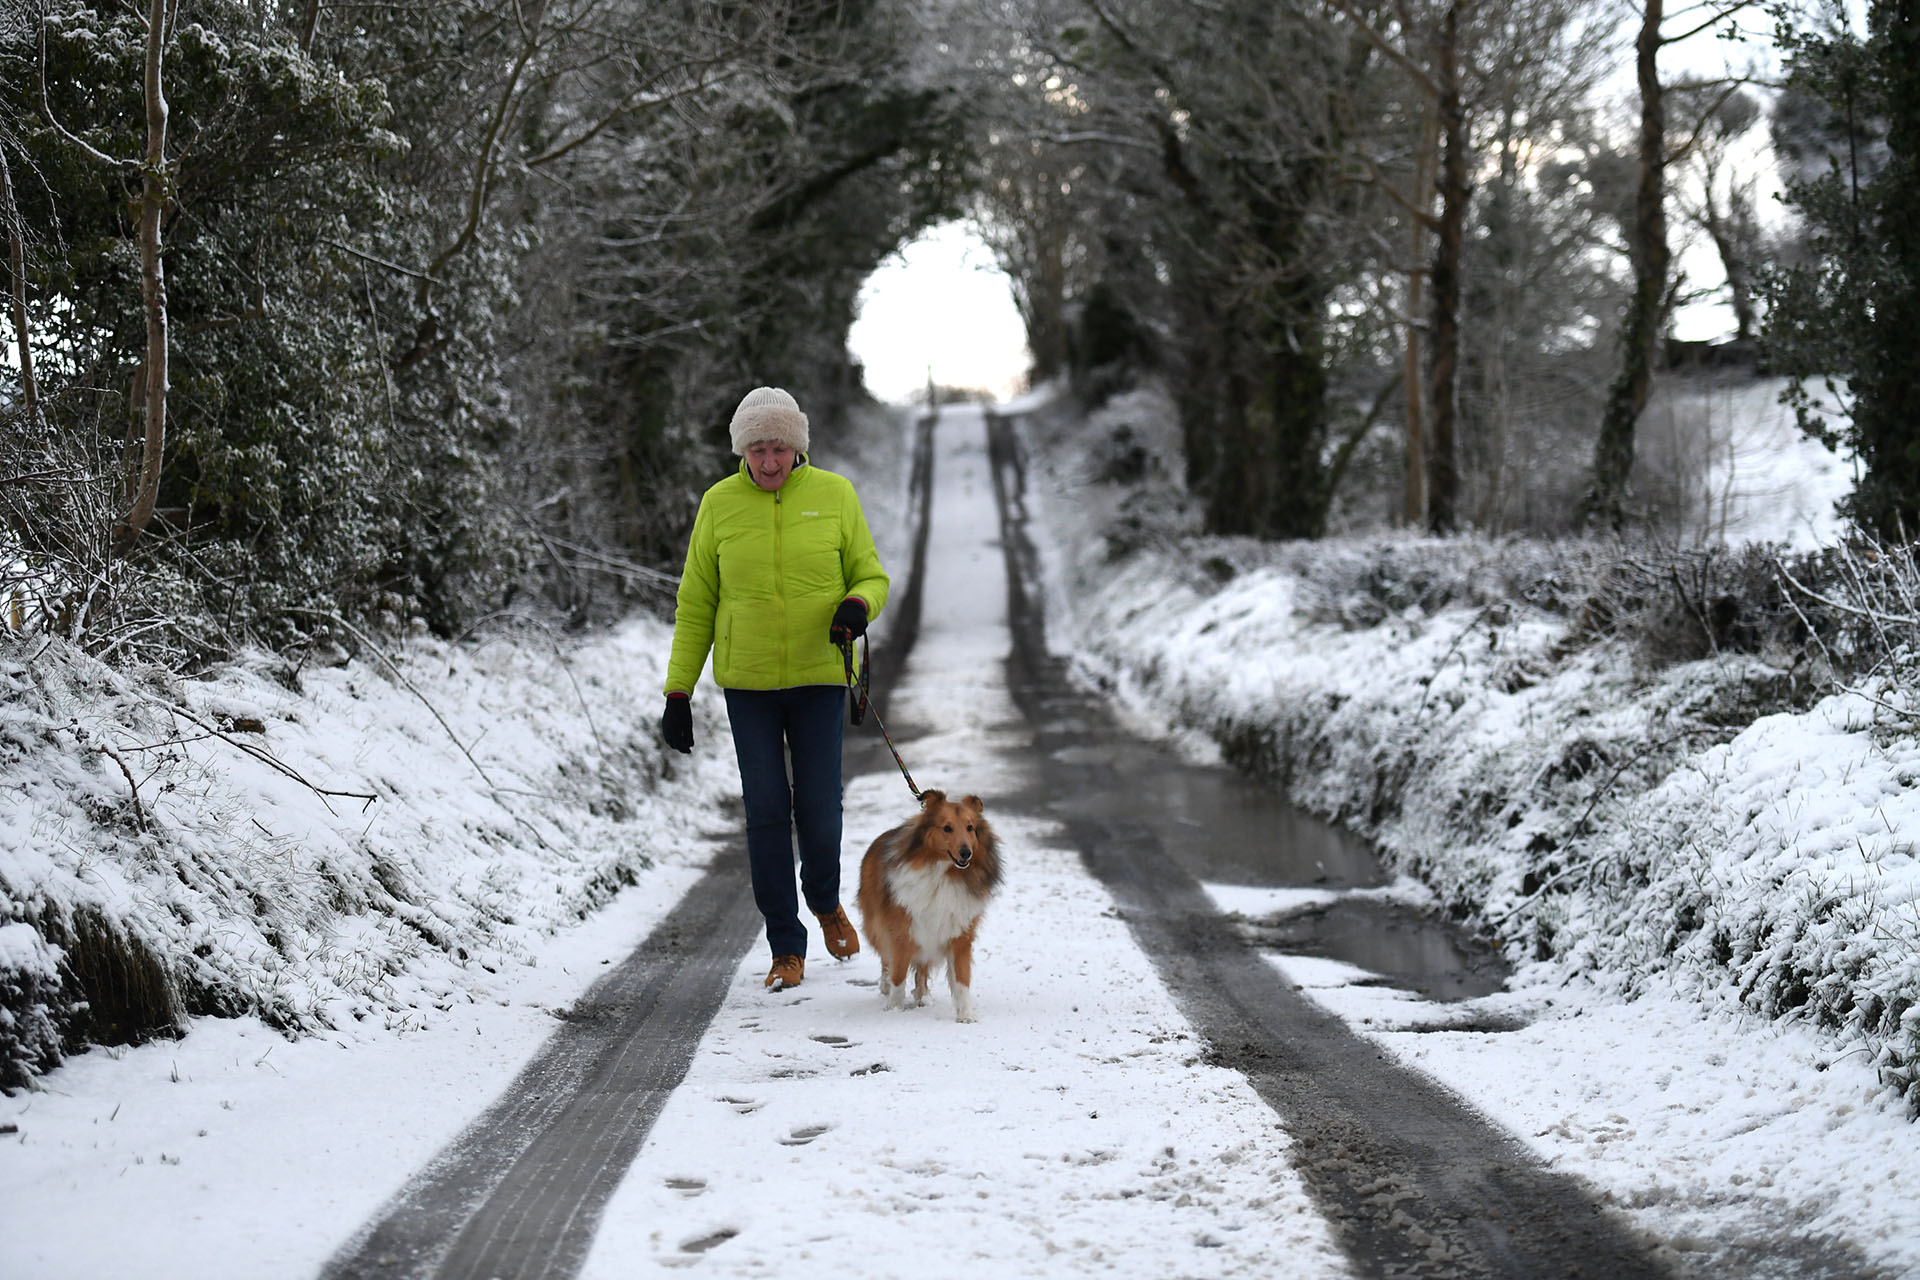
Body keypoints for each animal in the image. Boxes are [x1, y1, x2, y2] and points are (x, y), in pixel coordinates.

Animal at [860, 786, 1006, 1028]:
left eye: (970, 828)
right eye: (947, 828)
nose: (966, 853)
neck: (944, 873)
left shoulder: (959, 934)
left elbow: (962, 980)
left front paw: (966, 1015)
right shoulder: (902, 931)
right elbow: (898, 973)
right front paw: (895, 1009)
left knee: (921, 967)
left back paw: (922, 996)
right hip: (878, 925)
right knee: (886, 960)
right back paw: (886, 986)